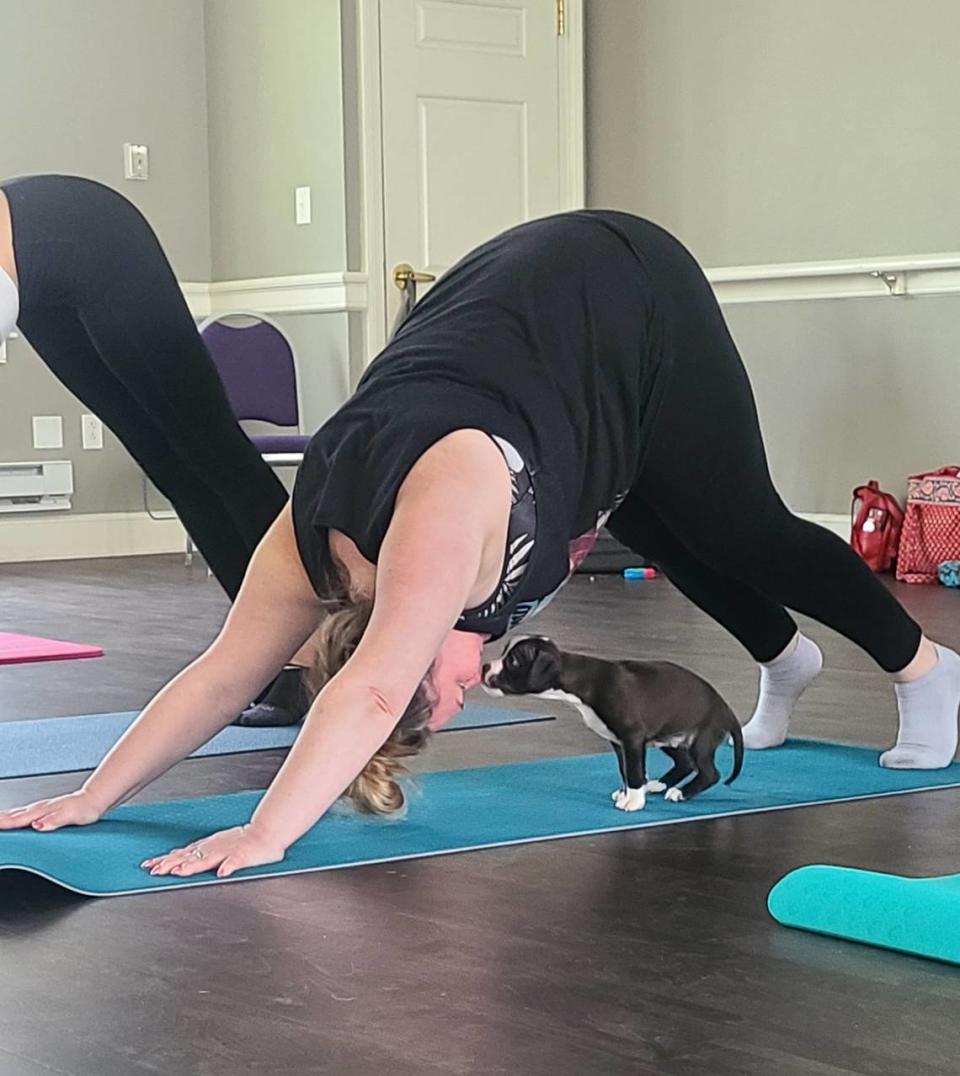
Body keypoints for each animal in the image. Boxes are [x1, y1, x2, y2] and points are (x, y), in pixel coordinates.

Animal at [484, 632, 744, 809]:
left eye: (513, 662)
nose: (485, 665)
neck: (581, 680)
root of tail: (725, 708)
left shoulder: (632, 737)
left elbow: (634, 771)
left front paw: (634, 801)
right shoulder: (620, 742)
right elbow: (625, 769)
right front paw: (629, 792)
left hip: (700, 741)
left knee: (710, 773)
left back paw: (680, 793)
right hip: (668, 737)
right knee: (685, 763)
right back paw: (658, 784)